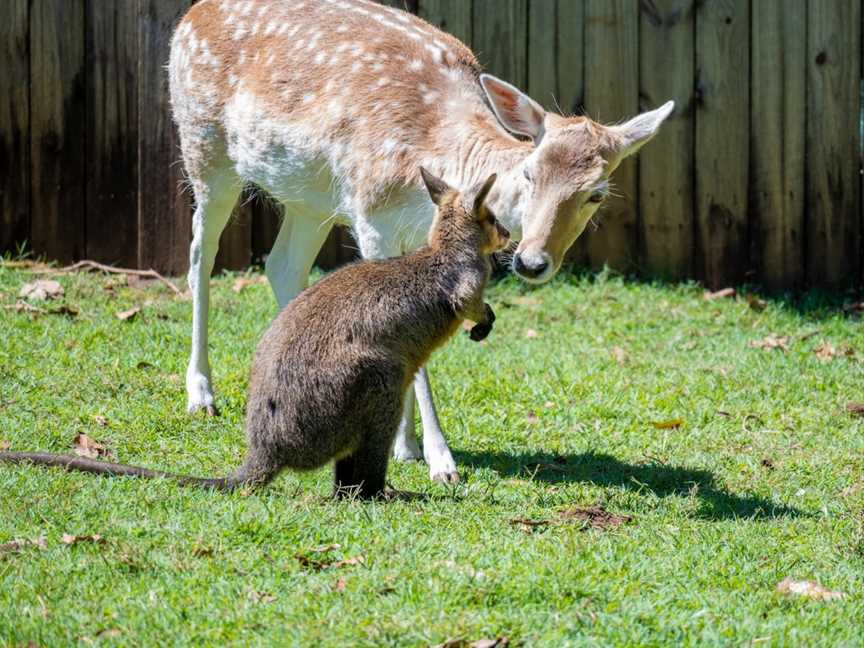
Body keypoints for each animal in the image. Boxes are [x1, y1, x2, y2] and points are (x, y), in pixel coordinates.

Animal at [167, 0, 676, 480]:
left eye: (595, 195)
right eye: (529, 174)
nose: (531, 262)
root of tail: (191, 16)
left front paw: (405, 443)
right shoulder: (372, 215)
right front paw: (439, 459)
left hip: (309, 196)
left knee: (282, 265)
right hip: (204, 147)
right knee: (199, 256)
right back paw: (201, 393)